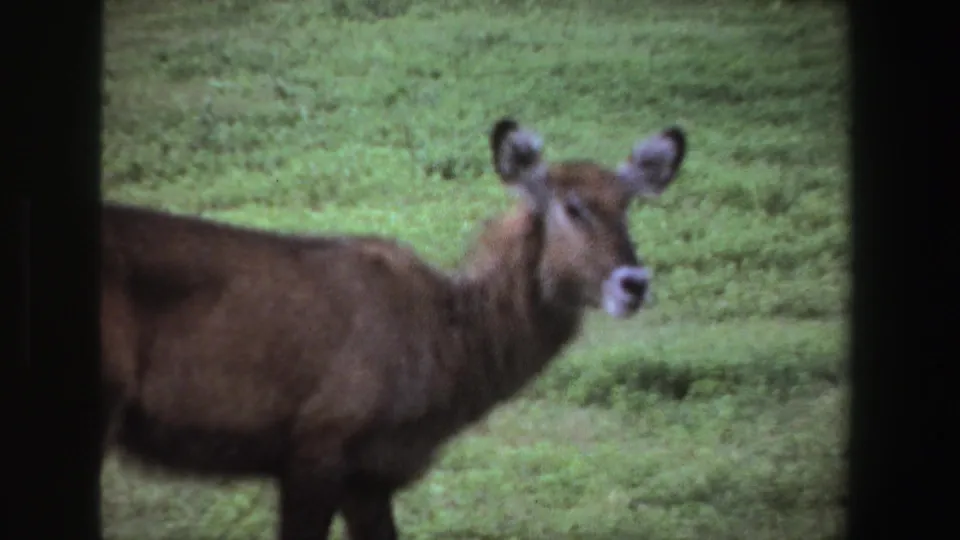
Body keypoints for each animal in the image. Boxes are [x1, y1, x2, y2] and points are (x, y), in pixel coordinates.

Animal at [100, 117, 688, 540]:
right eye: (572, 207)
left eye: (628, 205)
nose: (634, 283)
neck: (450, 344)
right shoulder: (317, 445)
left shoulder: (371, 474)